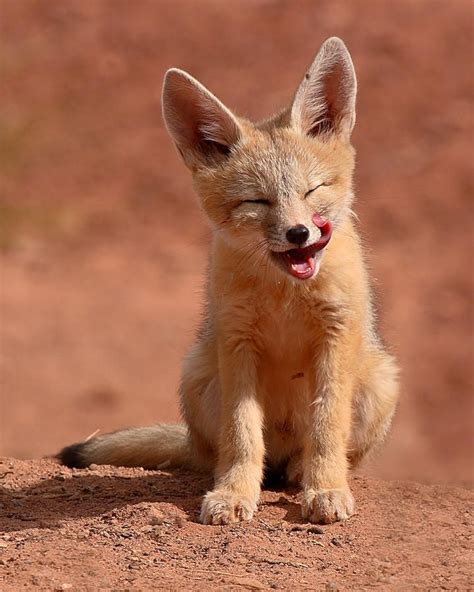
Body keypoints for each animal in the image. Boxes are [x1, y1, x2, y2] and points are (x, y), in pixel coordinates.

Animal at [59, 39, 400, 524]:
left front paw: (326, 488)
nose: (300, 233)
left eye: (312, 190)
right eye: (256, 201)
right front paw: (235, 493)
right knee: (222, 453)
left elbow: (326, 426)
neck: (285, 295)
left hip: (379, 383)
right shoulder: (238, 342)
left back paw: (302, 471)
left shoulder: (335, 336)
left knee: (318, 452)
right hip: (198, 377)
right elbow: (242, 434)